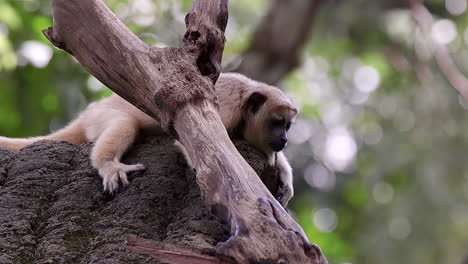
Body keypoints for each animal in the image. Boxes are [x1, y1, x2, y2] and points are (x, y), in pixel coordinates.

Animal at [0, 72, 298, 206]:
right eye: (277, 122)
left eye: (288, 126)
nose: (284, 138)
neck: (245, 96)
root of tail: (87, 114)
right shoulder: (224, 108)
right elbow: (191, 141)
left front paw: (284, 173)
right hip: (101, 117)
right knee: (124, 124)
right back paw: (108, 164)